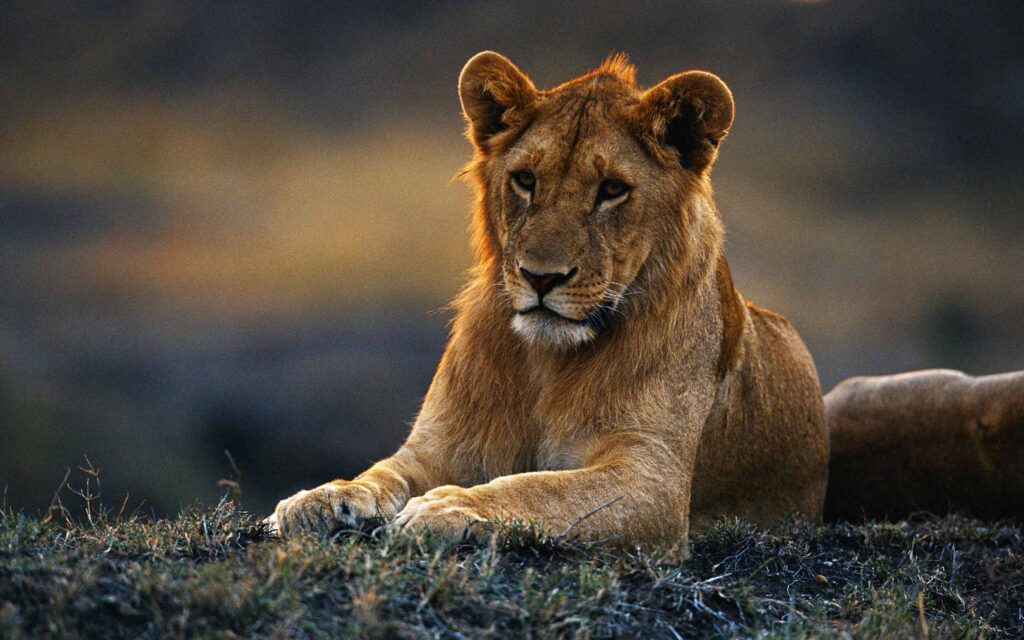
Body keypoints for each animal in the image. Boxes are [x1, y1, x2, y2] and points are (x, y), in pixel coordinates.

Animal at [270, 51, 1024, 544]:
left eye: (612, 191)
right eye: (524, 180)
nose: (542, 278)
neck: (546, 362)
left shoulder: (651, 479)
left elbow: (544, 486)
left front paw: (451, 511)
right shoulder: (436, 447)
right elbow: (379, 473)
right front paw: (320, 499)